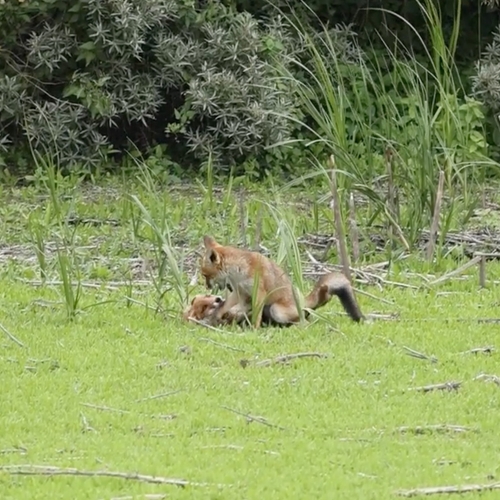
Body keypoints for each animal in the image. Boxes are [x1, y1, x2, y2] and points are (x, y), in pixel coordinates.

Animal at [197, 235, 366, 328]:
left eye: (205, 275)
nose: (206, 287)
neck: (239, 271)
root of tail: (302, 302)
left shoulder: (259, 293)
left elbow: (256, 316)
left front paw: (253, 330)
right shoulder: (240, 293)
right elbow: (223, 307)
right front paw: (213, 318)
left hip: (276, 310)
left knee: (306, 318)